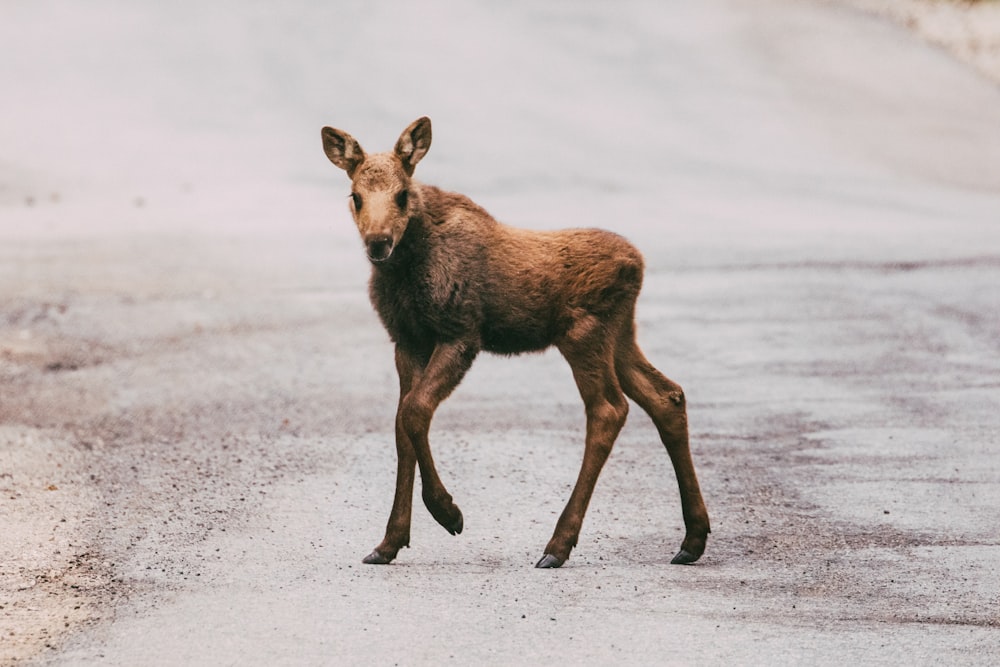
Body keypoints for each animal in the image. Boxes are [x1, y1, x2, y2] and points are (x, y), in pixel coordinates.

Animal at [320, 117, 712, 568]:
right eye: (356, 196)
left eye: (402, 194)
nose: (379, 242)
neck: (408, 270)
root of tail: (639, 265)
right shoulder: (406, 340)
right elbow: (402, 426)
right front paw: (389, 542)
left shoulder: (461, 332)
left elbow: (415, 412)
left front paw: (449, 512)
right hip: (621, 335)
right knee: (667, 396)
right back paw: (692, 538)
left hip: (583, 333)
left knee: (609, 410)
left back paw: (558, 545)